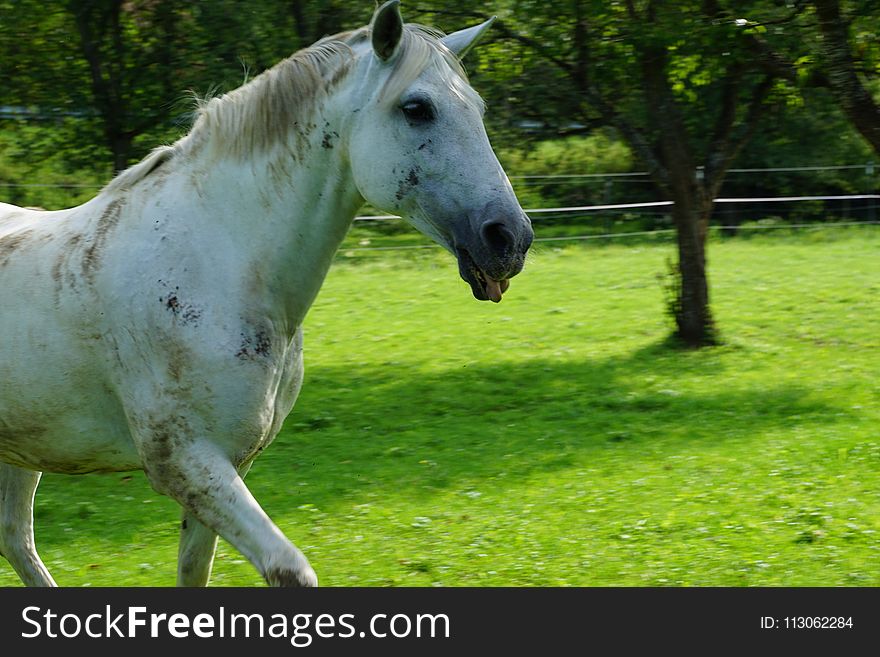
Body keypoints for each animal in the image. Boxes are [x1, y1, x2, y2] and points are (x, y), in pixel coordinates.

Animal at [0, 0, 528, 584]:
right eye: (417, 109)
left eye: (478, 109)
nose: (510, 238)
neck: (216, 262)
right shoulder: (187, 463)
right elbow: (289, 569)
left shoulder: (227, 465)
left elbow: (195, 571)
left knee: (16, 536)